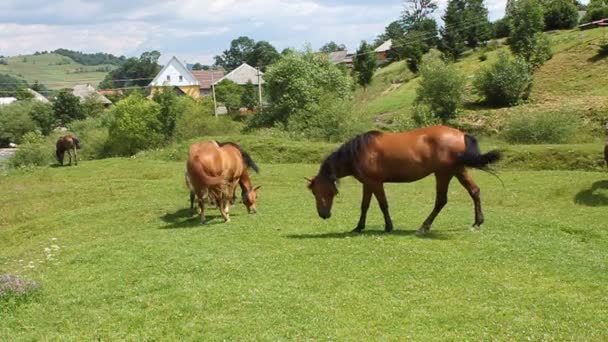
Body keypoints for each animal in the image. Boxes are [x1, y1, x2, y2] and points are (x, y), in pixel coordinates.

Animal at [306, 125, 502, 235]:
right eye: (314, 193)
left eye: (324, 191)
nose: (324, 214)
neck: (359, 151)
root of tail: (461, 135)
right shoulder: (367, 184)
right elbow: (365, 206)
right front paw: (359, 227)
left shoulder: (376, 183)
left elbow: (383, 205)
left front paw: (388, 226)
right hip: (459, 170)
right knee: (474, 191)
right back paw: (477, 223)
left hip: (443, 173)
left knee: (441, 200)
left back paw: (424, 227)